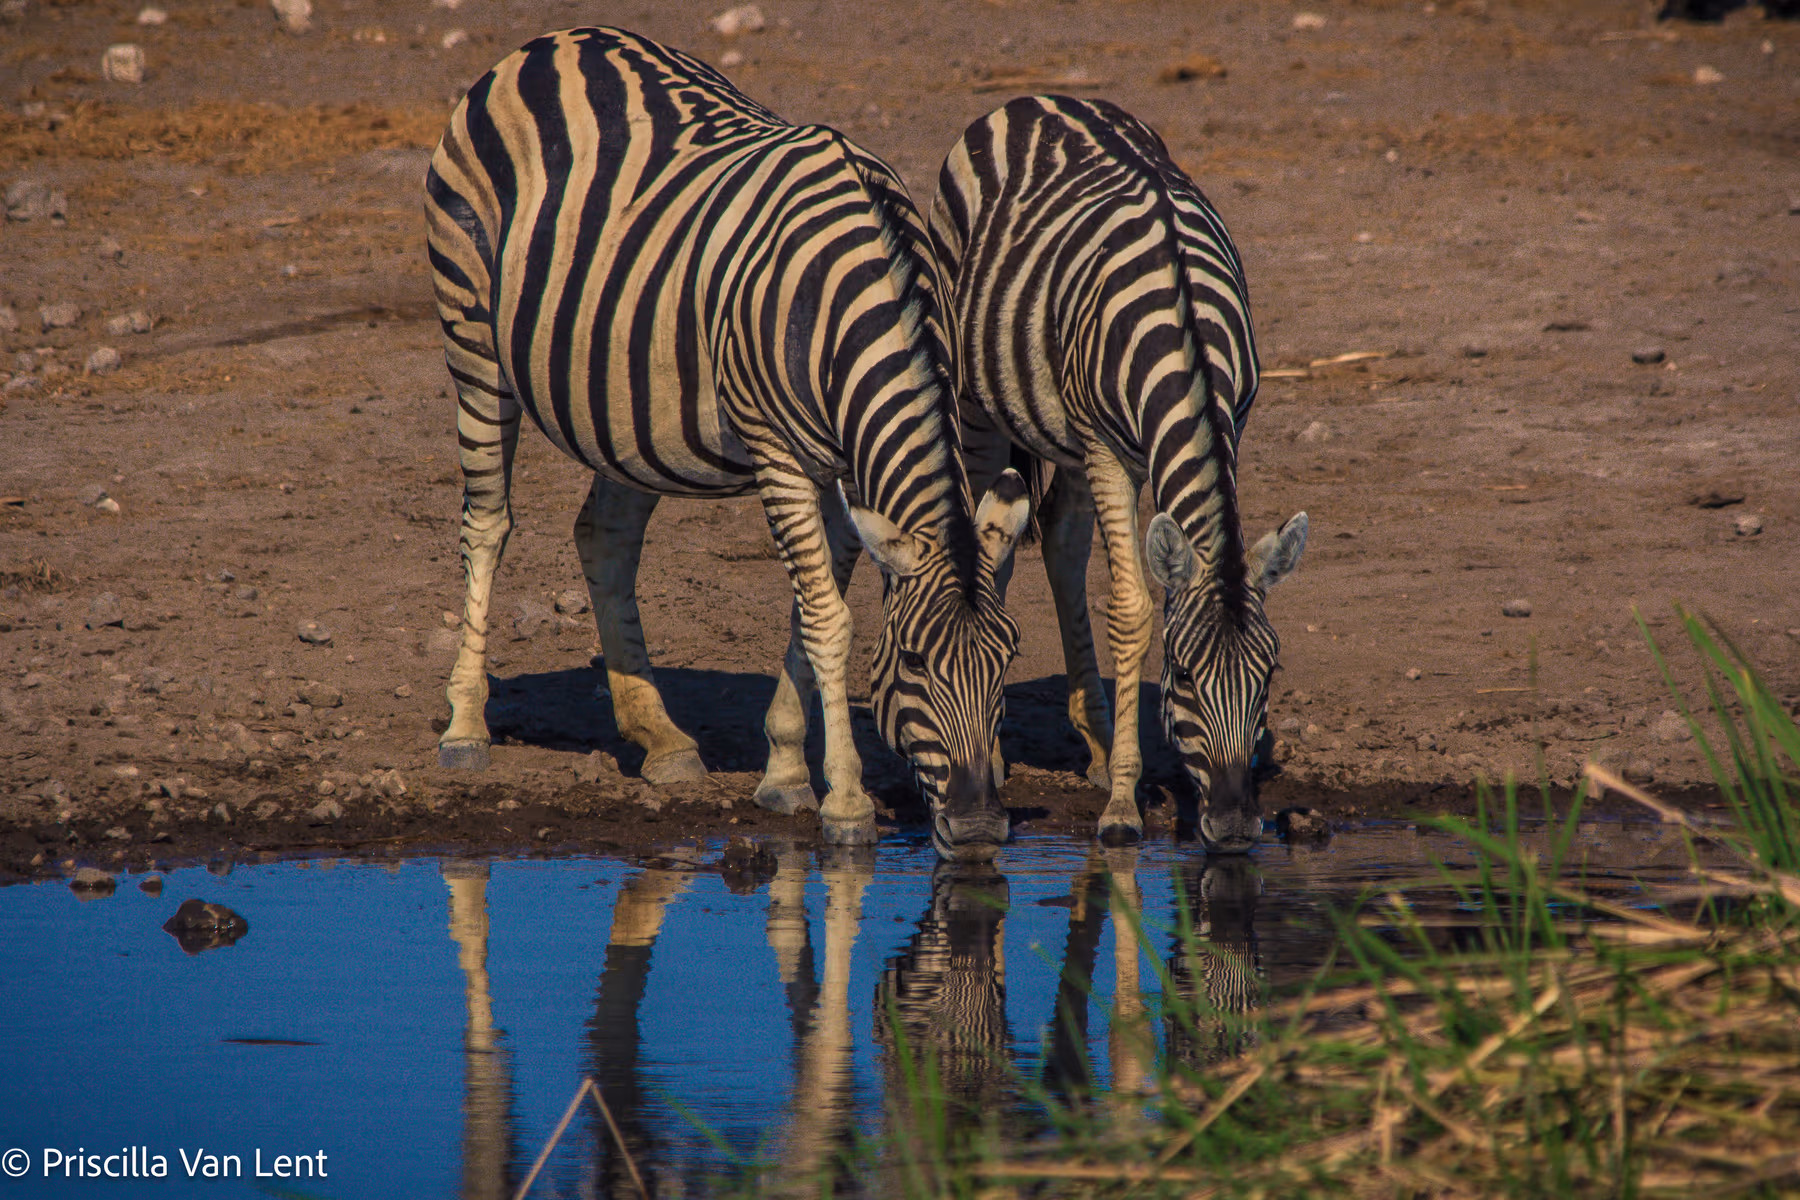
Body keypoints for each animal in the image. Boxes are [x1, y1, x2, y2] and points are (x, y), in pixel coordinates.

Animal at [424, 27, 1029, 858]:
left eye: (1008, 659)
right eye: (912, 662)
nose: (976, 830)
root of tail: (553, 42)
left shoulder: (843, 471)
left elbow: (812, 610)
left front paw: (784, 769)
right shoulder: (781, 455)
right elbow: (828, 619)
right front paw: (844, 803)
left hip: (627, 399)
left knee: (604, 536)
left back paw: (662, 738)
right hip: (473, 340)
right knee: (486, 523)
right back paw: (465, 725)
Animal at [930, 96, 1307, 852]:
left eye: (1270, 672)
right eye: (1184, 676)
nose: (1232, 827)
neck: (1186, 338)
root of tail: (1036, 98)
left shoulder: (1230, 421)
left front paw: (1128, 772)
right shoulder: (1106, 448)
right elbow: (1131, 607)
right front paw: (1124, 808)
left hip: (1067, 431)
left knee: (1061, 538)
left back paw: (1099, 744)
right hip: (979, 396)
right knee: (989, 526)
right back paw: (997, 754)